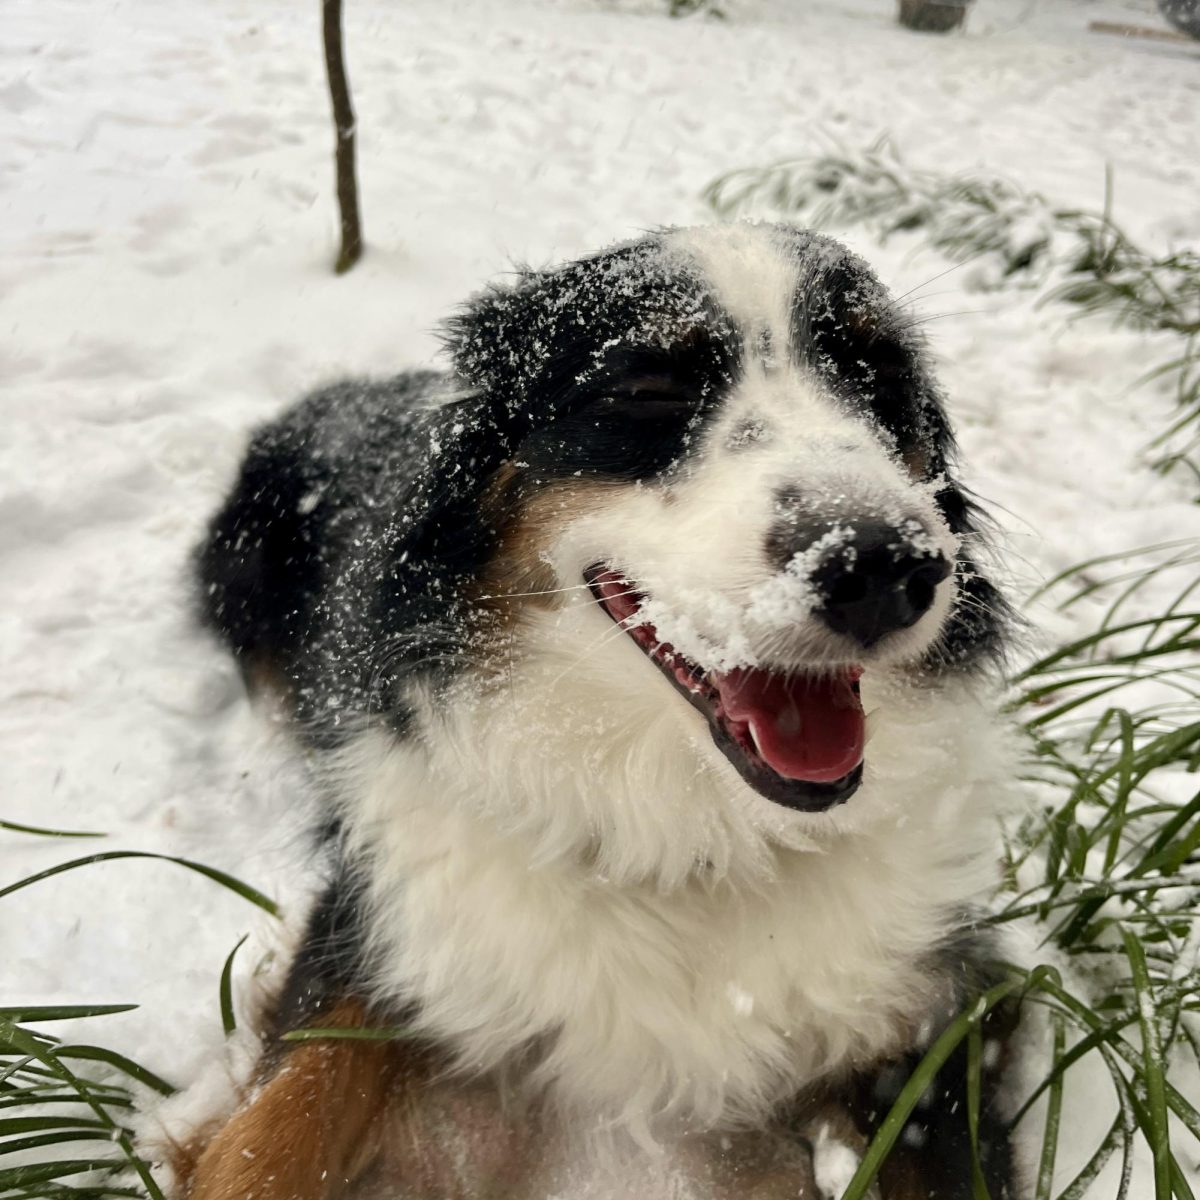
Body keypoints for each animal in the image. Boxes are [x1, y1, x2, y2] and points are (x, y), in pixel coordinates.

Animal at [180, 220, 1022, 1195]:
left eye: (878, 378)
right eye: (650, 390)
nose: (884, 566)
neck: (691, 836)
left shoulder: (938, 1010)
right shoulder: (379, 919)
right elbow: (268, 1133)